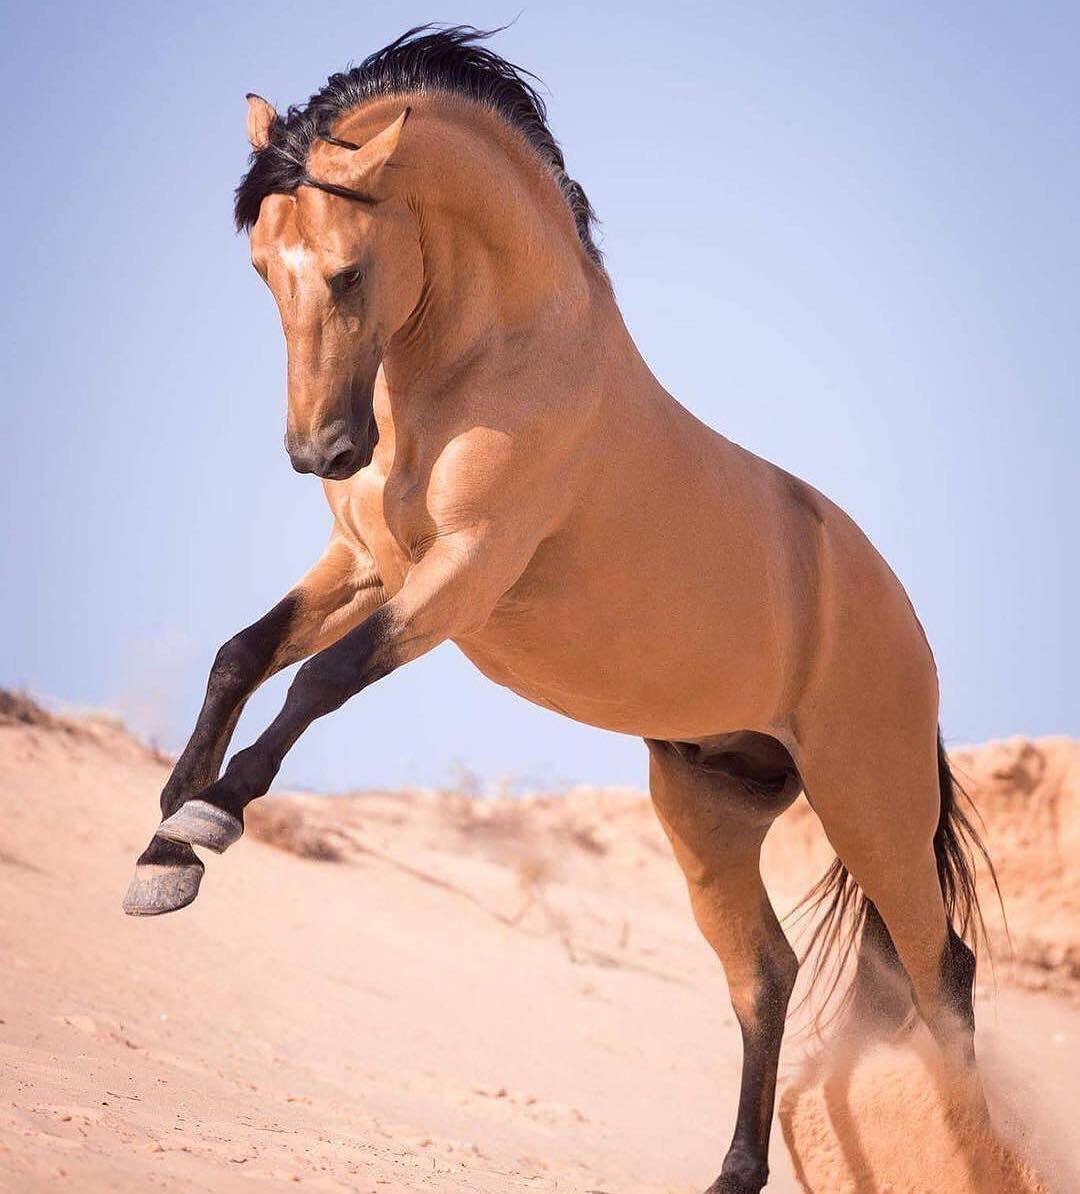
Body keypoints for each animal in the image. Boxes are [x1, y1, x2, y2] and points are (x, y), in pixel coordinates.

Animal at [123, 26, 994, 1194]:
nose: (322, 452)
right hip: (709, 809)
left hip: (871, 805)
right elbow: (241, 652)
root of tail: (906, 629)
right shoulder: (362, 565)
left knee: (944, 974)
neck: (492, 362)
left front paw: (209, 819)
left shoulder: (463, 574)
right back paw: (733, 1173)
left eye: (348, 271)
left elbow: (320, 678)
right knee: (766, 975)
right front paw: (163, 847)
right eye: (264, 269)